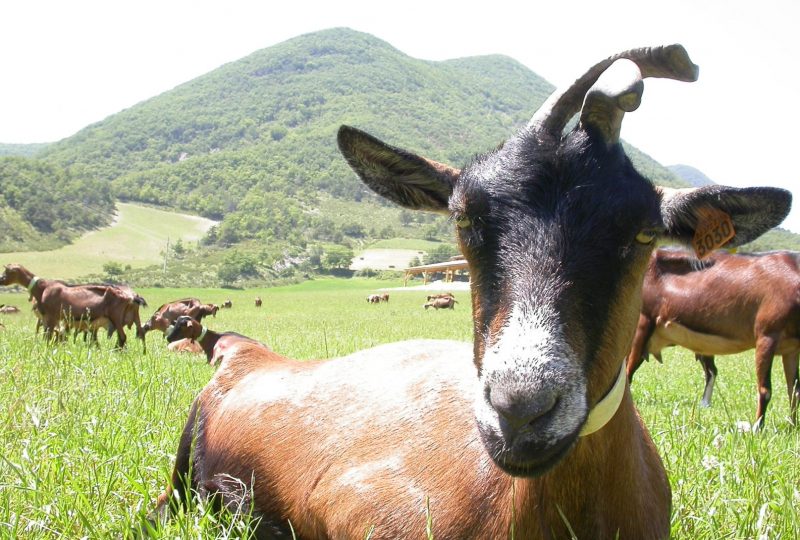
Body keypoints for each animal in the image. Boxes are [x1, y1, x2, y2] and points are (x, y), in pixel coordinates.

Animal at [628, 247, 796, 428]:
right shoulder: (767, 335)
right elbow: (765, 389)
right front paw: (757, 428)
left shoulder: (791, 348)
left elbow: (793, 389)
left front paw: (792, 426)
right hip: (642, 325)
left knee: (711, 371)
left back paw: (704, 405)